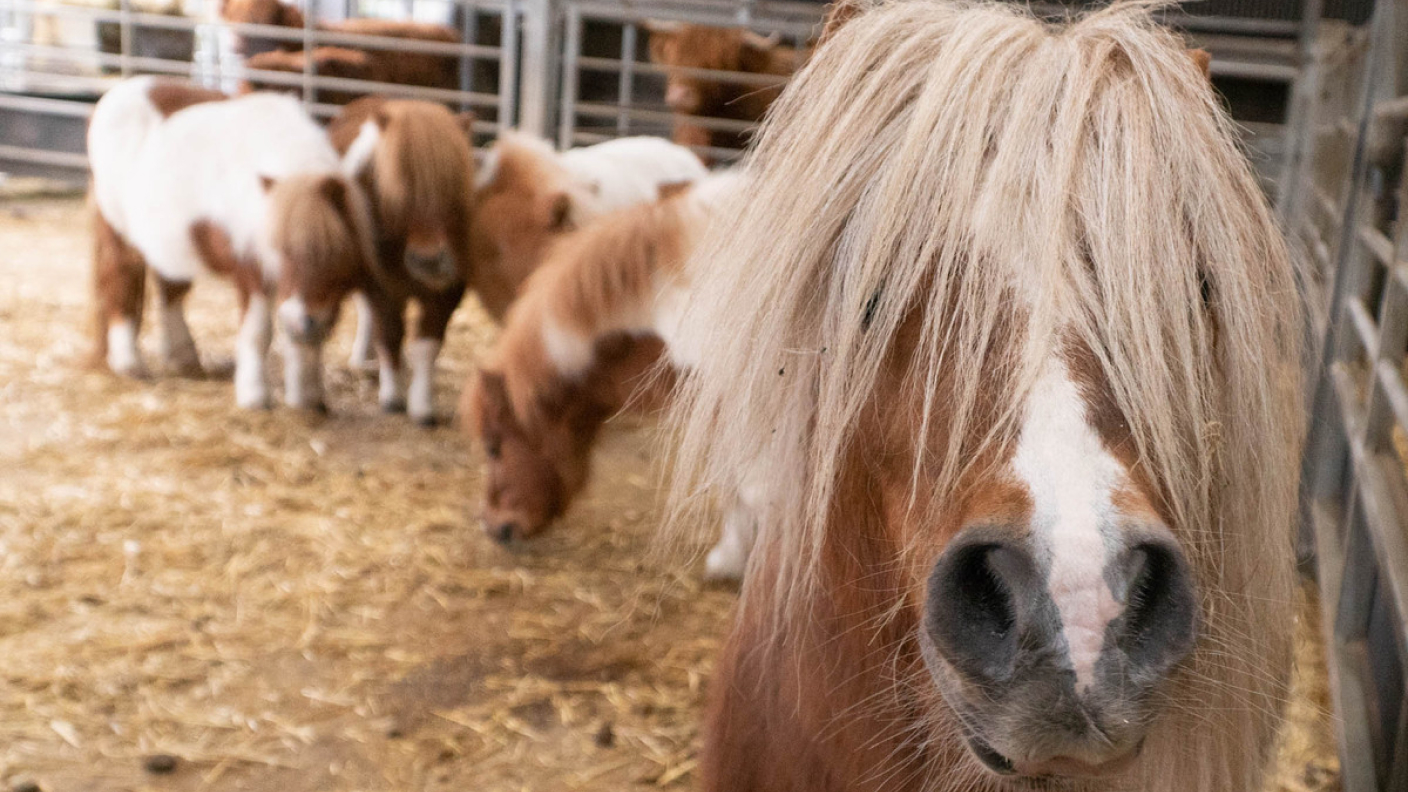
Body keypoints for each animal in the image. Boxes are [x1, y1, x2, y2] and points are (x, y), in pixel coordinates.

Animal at [87, 77, 374, 408]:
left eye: (335, 253)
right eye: (283, 250)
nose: (302, 322)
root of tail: (113, 96)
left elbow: (306, 341)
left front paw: (308, 398)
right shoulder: (252, 268)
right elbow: (259, 333)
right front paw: (255, 396)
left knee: (170, 292)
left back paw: (183, 358)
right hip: (118, 233)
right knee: (120, 280)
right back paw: (129, 363)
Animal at [328, 95, 478, 425]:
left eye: (452, 187)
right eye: (401, 191)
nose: (429, 260)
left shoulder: (448, 291)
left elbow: (427, 344)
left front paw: (422, 405)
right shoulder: (381, 285)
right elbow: (390, 335)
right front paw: (392, 396)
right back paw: (363, 356)